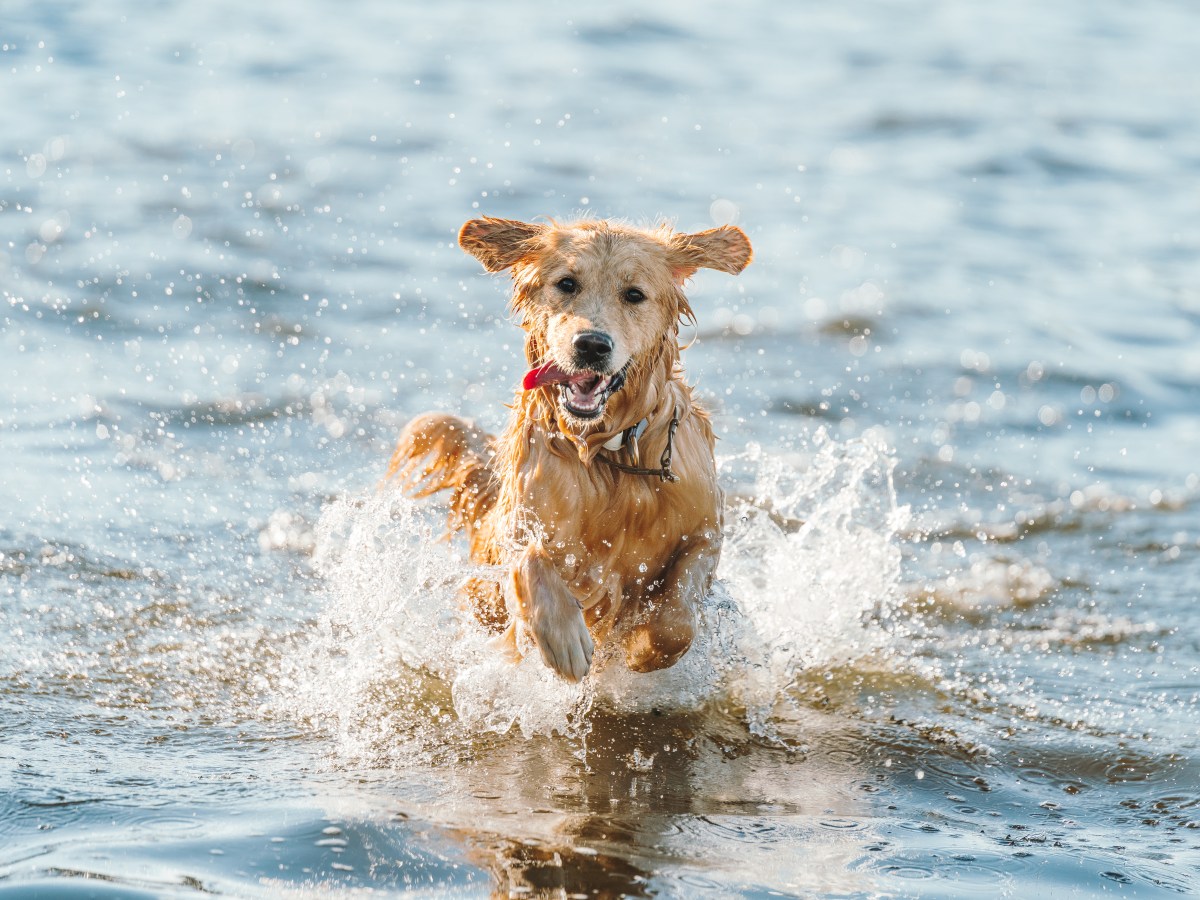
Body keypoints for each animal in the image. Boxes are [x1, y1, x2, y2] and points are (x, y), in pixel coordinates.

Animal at [388, 217, 753, 681]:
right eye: (566, 283)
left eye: (634, 294)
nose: (591, 345)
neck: (610, 453)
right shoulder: (522, 520)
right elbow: (531, 560)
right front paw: (564, 639)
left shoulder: (704, 530)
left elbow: (675, 622)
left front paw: (640, 649)